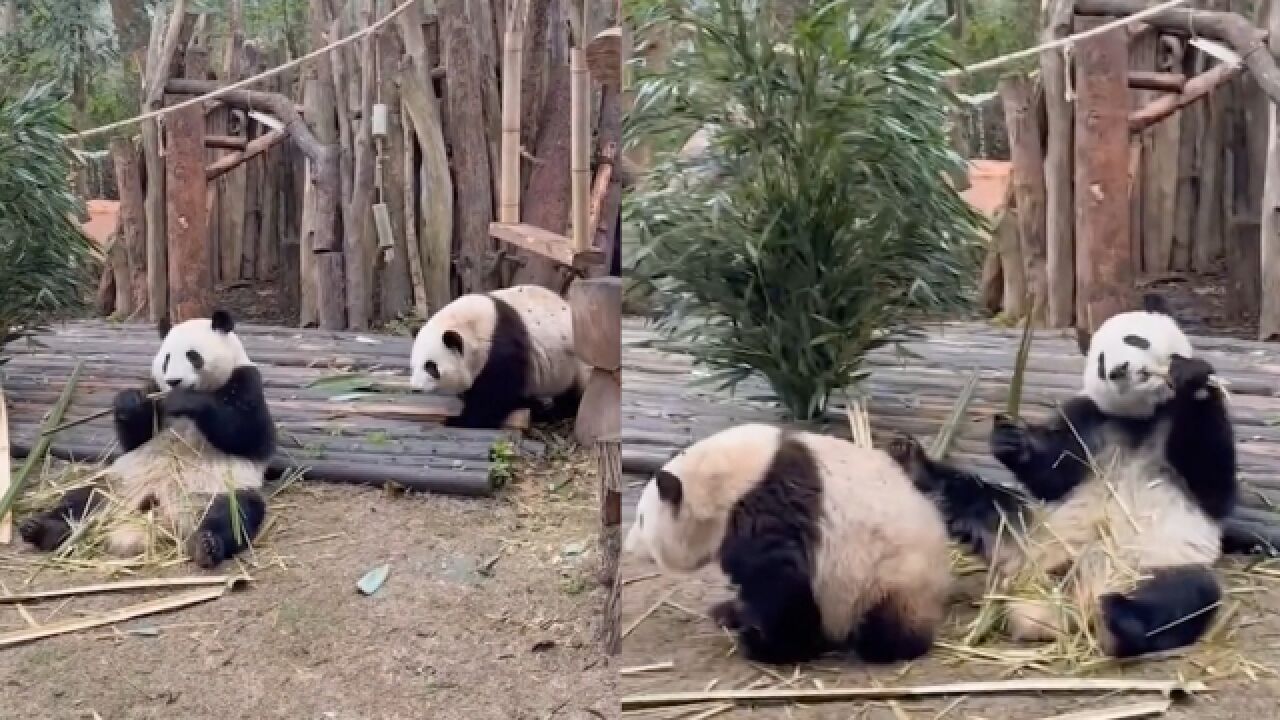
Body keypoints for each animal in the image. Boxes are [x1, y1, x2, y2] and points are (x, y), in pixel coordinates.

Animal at [18, 308, 275, 566]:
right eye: (167, 359)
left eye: (193, 356)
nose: (173, 381)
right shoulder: (154, 390)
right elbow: (136, 439)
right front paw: (129, 402)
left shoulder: (246, 380)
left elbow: (247, 434)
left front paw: (185, 400)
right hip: (115, 484)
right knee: (81, 499)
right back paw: (42, 528)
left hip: (215, 491)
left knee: (233, 513)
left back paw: (206, 545)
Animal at [409, 283, 586, 427]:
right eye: (413, 366)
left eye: (431, 367)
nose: (415, 388)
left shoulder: (502, 352)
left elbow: (493, 398)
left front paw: (457, 420)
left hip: (575, 363)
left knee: (572, 397)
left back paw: (548, 411)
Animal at [619, 422, 952, 666]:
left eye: (641, 519)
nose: (628, 546)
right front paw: (737, 617)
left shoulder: (767, 506)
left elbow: (782, 580)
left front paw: (766, 647)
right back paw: (728, 612)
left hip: (892, 575)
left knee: (889, 621)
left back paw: (875, 644)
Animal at [890, 293, 1228, 655]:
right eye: (1100, 362)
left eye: (1135, 339)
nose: (1118, 370)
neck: (1139, 419)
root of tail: (1065, 605)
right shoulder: (1087, 419)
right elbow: (1054, 476)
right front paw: (1013, 441)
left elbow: (1211, 481)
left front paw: (1190, 378)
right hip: (1032, 533)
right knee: (981, 502)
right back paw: (913, 464)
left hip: (1153, 563)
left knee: (1187, 594)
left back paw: (1121, 618)